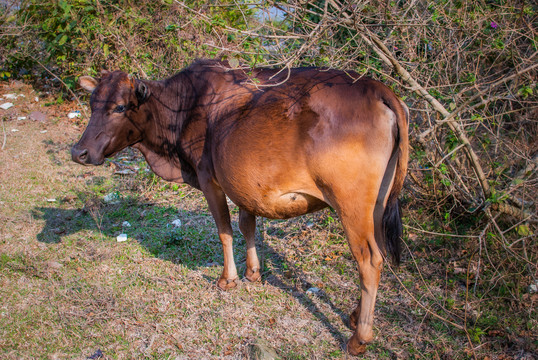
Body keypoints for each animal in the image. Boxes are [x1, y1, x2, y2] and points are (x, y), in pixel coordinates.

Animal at [71, 59, 406, 354]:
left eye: (120, 107)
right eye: (92, 104)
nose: (79, 152)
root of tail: (376, 87)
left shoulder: (209, 178)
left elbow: (224, 230)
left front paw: (227, 278)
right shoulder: (243, 184)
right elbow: (247, 225)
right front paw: (253, 272)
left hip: (350, 203)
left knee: (369, 261)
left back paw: (359, 339)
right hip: (377, 203)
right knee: (378, 254)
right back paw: (355, 316)